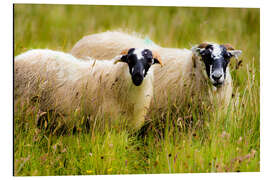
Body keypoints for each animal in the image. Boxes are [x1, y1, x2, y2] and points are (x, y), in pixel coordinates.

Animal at [14, 47, 162, 131]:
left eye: (150, 60)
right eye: (130, 59)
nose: (137, 77)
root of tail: (18, 60)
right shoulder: (105, 123)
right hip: (25, 107)